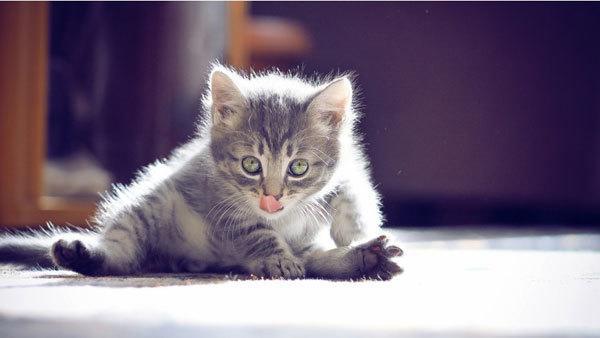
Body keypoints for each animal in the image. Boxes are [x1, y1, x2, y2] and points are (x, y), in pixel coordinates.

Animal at [1, 64, 404, 278]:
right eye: (251, 165)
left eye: (299, 167)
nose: (272, 199)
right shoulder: (217, 202)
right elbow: (254, 231)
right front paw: (275, 257)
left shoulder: (346, 166)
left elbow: (352, 187)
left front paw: (354, 228)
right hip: (148, 204)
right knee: (122, 255)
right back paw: (79, 253)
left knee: (315, 260)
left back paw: (365, 258)